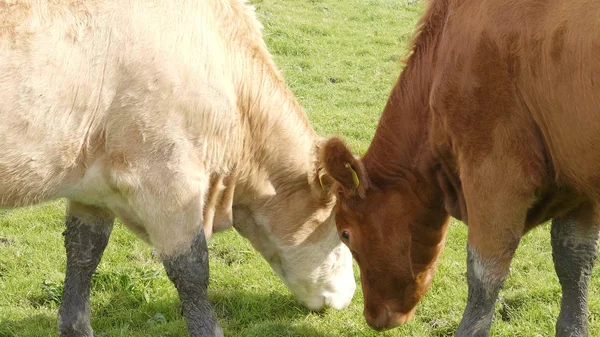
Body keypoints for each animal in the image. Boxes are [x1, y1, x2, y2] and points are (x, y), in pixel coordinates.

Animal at [0, 1, 356, 334]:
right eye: (343, 233)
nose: (350, 295)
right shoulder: (168, 177)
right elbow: (191, 269)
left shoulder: (92, 187)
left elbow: (83, 252)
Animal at [324, 0, 600, 334]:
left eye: (345, 234)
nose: (373, 316)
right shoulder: (580, 190)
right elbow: (574, 263)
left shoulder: (493, 173)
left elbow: (484, 275)